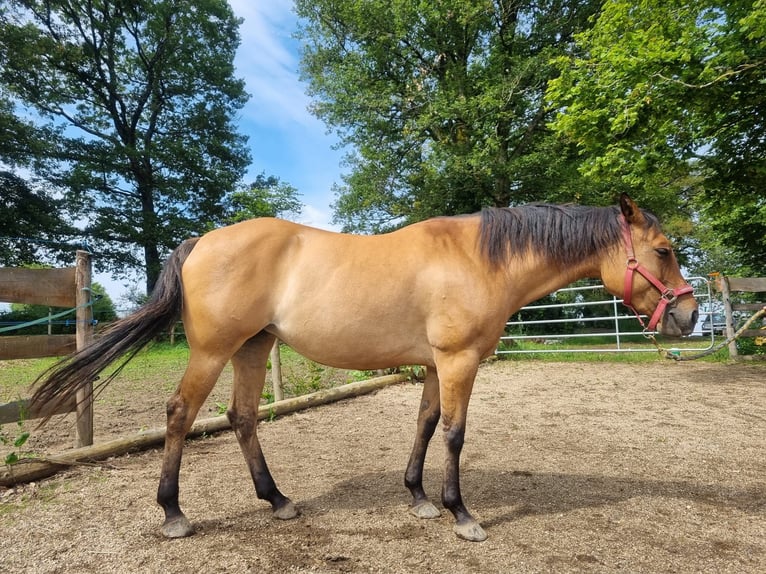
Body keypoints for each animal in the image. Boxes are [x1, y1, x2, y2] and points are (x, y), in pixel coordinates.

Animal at [31, 194, 704, 544]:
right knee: (179, 415)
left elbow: (426, 426)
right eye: (664, 251)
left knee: (243, 417)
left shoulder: (434, 366)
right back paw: (173, 514)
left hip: (252, 348)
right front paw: (461, 515)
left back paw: (278, 500)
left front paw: (419, 498)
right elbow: (455, 434)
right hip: (214, 350)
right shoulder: (459, 362)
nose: (691, 315)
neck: (479, 258)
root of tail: (203, 241)